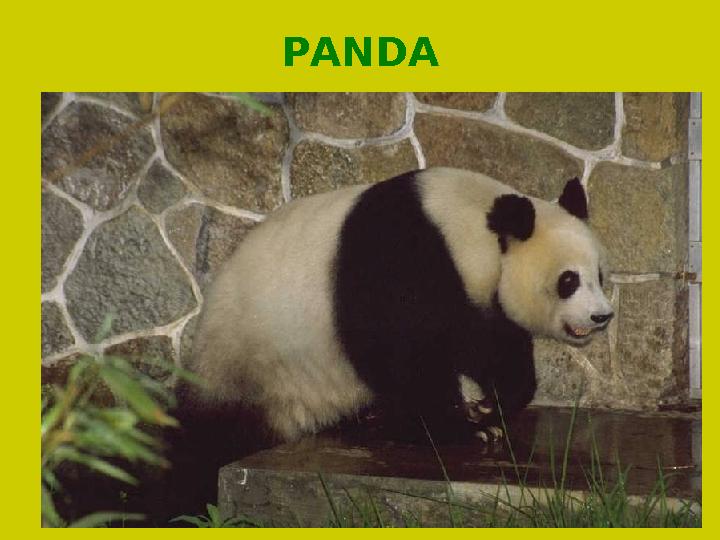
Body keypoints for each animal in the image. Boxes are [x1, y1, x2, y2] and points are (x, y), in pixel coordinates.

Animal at [184, 166, 613, 447]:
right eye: (569, 280)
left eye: (600, 274)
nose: (602, 316)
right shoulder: (400, 263)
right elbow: (410, 358)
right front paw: (464, 428)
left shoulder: (471, 293)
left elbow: (487, 341)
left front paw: (489, 406)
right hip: (251, 366)